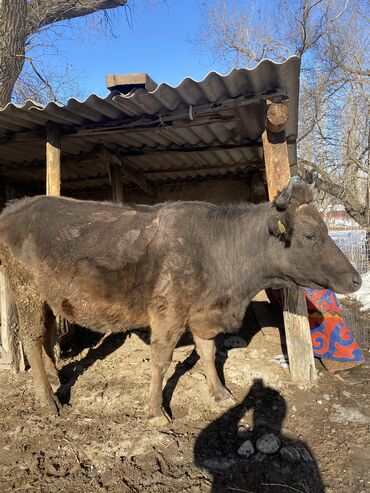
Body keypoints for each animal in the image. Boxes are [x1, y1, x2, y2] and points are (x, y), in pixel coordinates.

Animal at [0, 181, 362, 418]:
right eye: (310, 235)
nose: (356, 279)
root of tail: (17, 206)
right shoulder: (168, 313)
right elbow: (162, 360)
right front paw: (155, 410)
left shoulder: (202, 313)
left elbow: (208, 352)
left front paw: (220, 392)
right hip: (26, 290)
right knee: (32, 338)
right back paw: (47, 400)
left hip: (48, 297)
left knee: (47, 334)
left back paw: (56, 378)